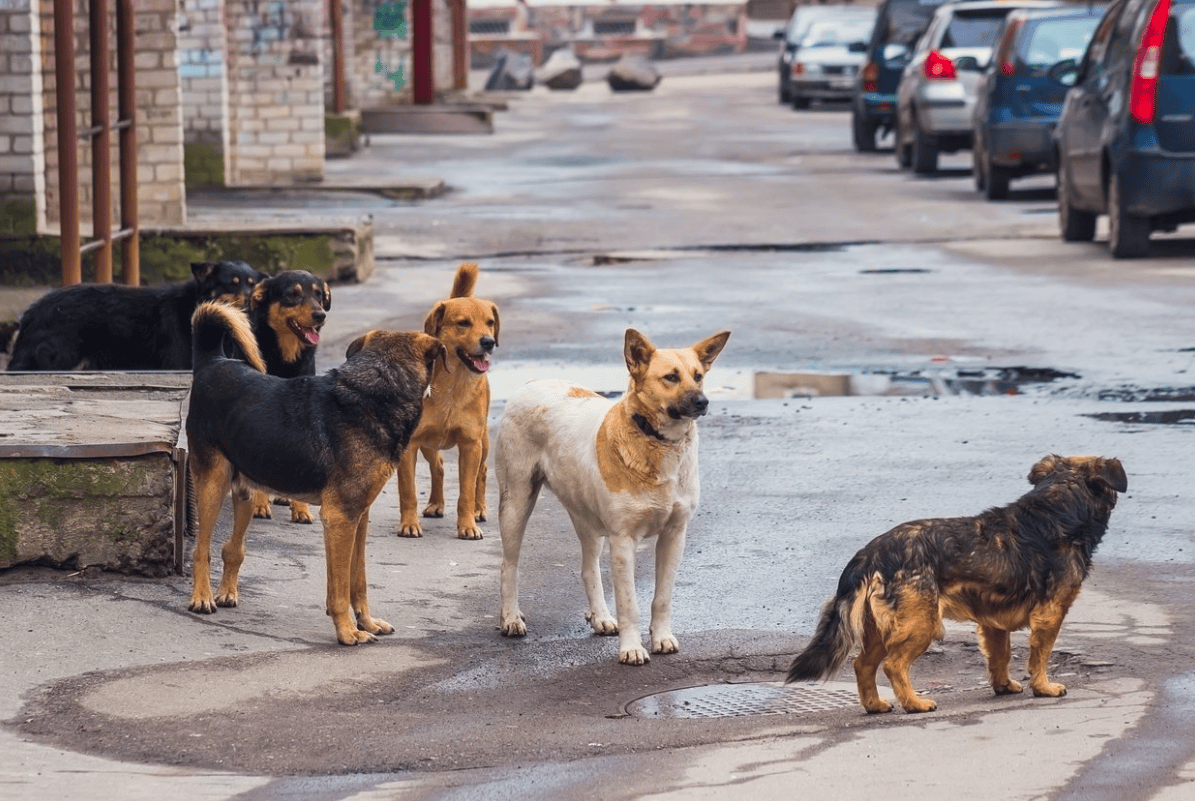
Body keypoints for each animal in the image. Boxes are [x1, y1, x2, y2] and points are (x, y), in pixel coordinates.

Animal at [5, 260, 267, 373]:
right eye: (232, 284)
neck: (194, 303)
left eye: (251, 283)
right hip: (59, 357)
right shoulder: (177, 363)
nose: (249, 300)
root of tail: (31, 312)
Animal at [243, 270, 334, 526]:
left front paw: (300, 509)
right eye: (293, 294)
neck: (285, 358)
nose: (320, 315)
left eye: (318, 294)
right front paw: (260, 504)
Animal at [396, 263, 499, 540]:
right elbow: (408, 491)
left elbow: (466, 492)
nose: (489, 342)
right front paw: (409, 524)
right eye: (463, 323)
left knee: (482, 473)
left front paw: (468, 525)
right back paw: (436, 503)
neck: (453, 385)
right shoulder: (410, 446)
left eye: (490, 323)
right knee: (439, 467)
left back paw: (479, 509)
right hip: (428, 444)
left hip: (483, 442)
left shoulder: (470, 445)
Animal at [494, 325, 726, 664]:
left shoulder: (674, 535)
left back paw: (600, 616)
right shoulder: (623, 540)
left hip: (586, 518)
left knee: (588, 568)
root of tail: (532, 382)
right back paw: (510, 618)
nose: (702, 402)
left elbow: (662, 597)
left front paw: (661, 637)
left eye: (698, 376)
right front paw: (632, 648)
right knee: (509, 566)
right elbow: (629, 604)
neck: (657, 442)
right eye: (670, 377)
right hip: (516, 503)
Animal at [788, 459, 1123, 717]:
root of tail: (870, 554)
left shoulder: (992, 622)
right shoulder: (1050, 615)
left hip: (882, 629)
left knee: (862, 665)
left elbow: (1000, 656)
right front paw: (1043, 687)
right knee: (893, 666)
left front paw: (1003, 686)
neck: (1057, 508)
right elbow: (1039, 656)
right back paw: (914, 703)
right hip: (921, 624)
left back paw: (875, 705)